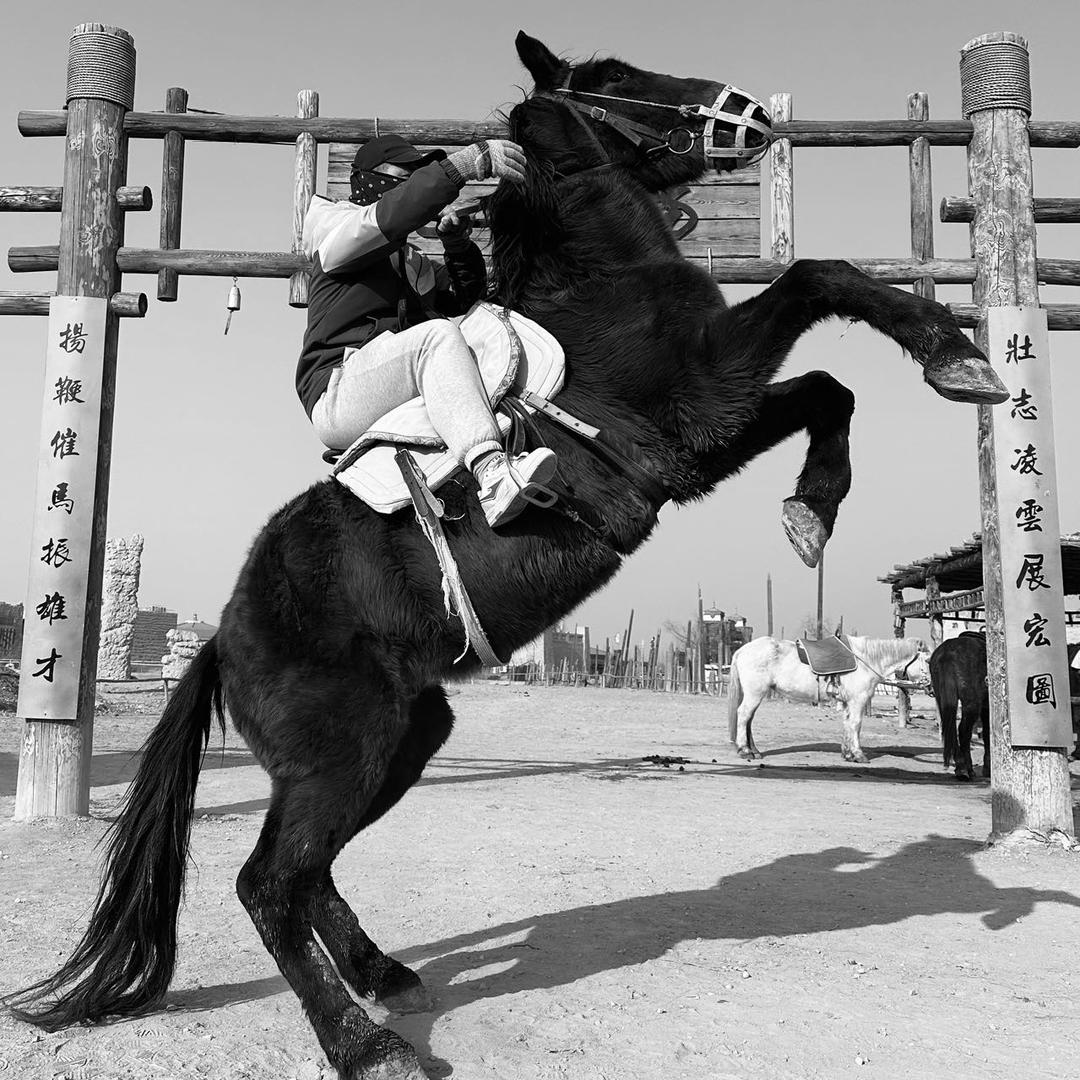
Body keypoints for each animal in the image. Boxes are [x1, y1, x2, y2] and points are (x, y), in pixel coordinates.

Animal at [727, 634, 930, 763]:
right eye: (928, 660)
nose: (929, 686)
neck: (866, 659)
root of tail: (742, 651)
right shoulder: (858, 701)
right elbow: (856, 725)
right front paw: (858, 755)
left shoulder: (849, 703)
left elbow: (847, 725)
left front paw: (848, 754)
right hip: (755, 693)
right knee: (744, 715)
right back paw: (745, 751)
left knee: (749, 719)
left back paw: (754, 751)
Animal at [928, 631, 989, 781]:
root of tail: (947, 654)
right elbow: (987, 734)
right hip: (972, 703)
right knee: (963, 731)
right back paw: (966, 770)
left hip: (942, 699)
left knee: (950, 730)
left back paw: (960, 767)